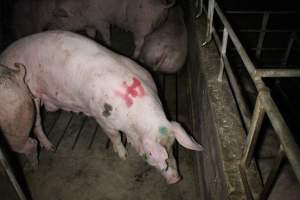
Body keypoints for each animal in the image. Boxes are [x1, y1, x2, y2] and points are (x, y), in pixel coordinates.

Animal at [0, 30, 203, 183]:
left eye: (173, 147)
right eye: (151, 155)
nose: (176, 179)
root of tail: (4, 55)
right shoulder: (101, 117)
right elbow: (114, 136)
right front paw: (123, 155)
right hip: (30, 97)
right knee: (36, 124)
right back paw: (48, 150)